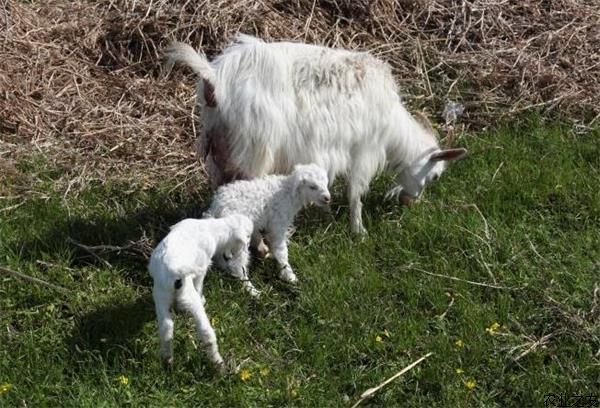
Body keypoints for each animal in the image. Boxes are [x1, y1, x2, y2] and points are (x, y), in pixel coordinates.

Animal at [151, 215, 254, 372]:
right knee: (205, 333)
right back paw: (219, 365)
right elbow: (199, 283)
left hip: (160, 296)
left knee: (166, 328)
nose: (248, 247)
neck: (213, 228)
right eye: (248, 235)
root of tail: (173, 273)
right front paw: (203, 298)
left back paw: (168, 360)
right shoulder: (202, 266)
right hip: (188, 296)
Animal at [166, 35, 466, 236]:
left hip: (218, 145)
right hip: (253, 150)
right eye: (435, 175)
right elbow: (355, 192)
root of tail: (214, 78)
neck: (391, 122)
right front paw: (358, 230)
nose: (410, 202)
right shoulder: (364, 149)